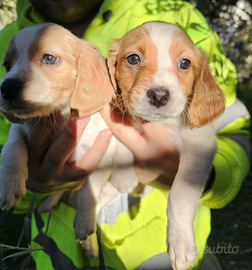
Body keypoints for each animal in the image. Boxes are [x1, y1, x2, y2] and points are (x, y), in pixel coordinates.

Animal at [0, 22, 138, 255]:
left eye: (49, 58)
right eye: (7, 66)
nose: (6, 87)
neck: (62, 119)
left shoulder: (100, 160)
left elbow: (89, 194)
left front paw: (83, 224)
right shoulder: (21, 128)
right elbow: (11, 146)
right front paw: (9, 186)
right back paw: (47, 204)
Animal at [107, 21, 225, 270]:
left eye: (185, 63)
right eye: (133, 58)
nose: (159, 96)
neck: (163, 124)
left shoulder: (201, 147)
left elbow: (179, 194)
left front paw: (180, 243)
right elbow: (123, 131)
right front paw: (124, 174)